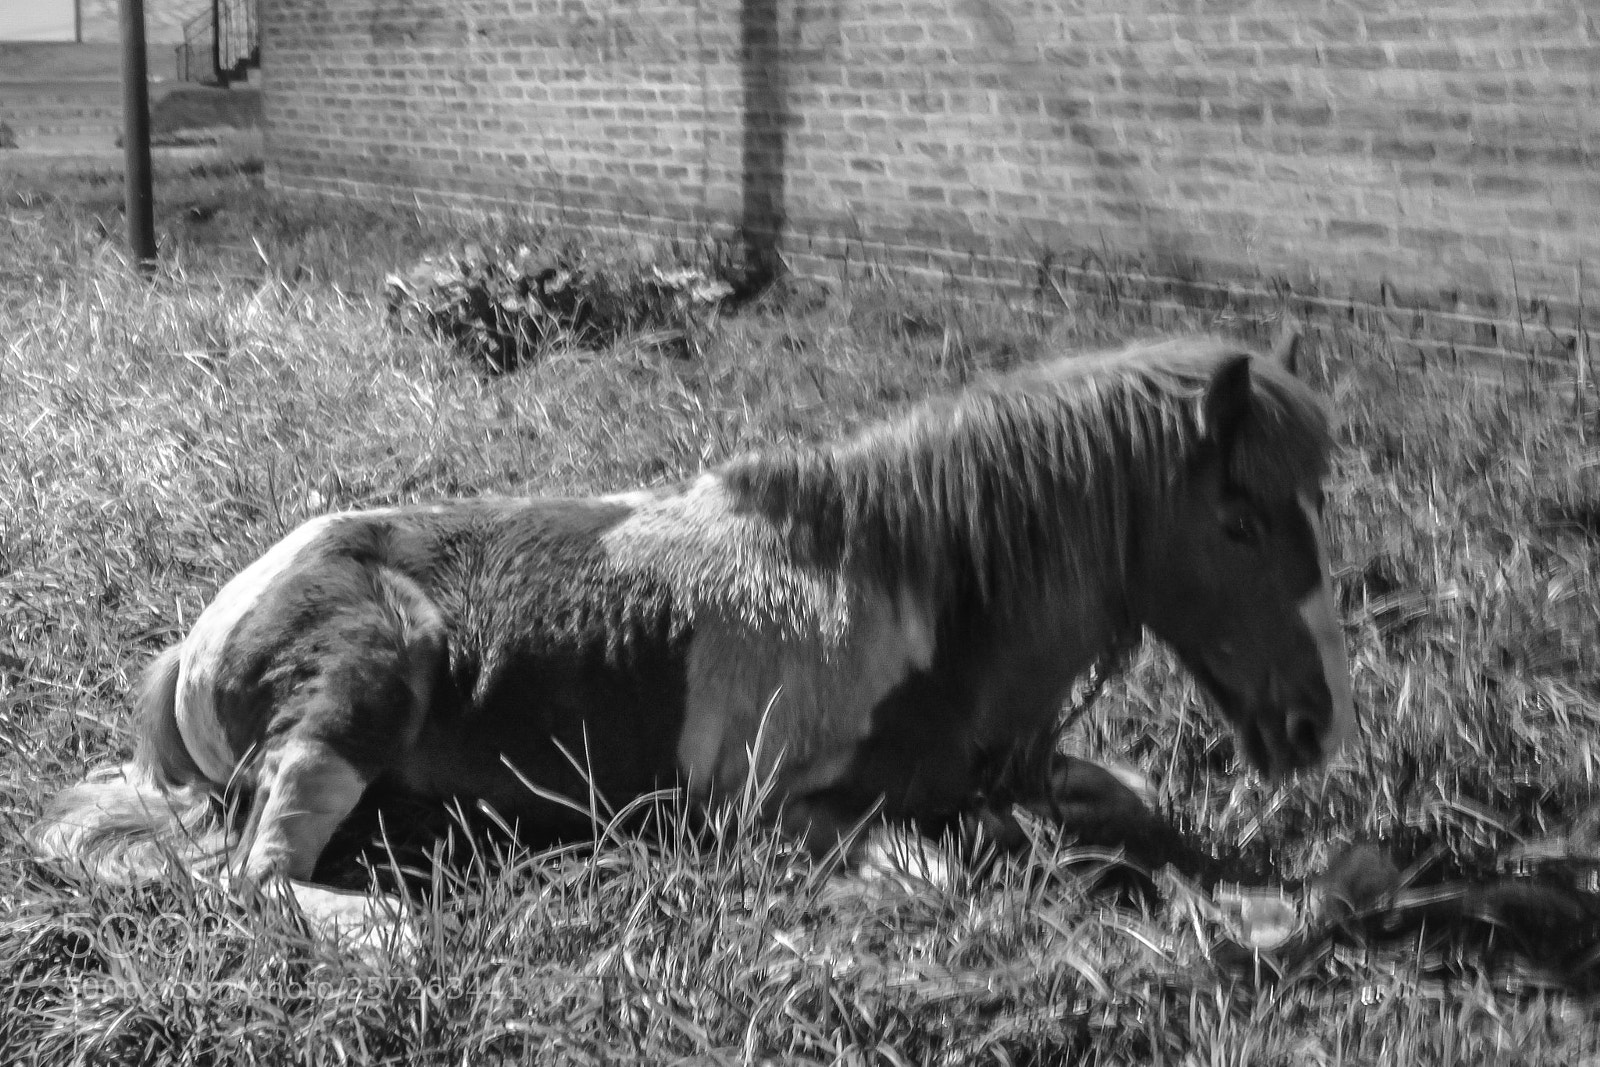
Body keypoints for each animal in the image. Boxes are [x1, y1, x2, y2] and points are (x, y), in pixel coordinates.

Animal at [32, 329, 1354, 927]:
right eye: (1238, 520)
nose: (1312, 723)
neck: (901, 593)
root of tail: (202, 634)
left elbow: (1119, 794)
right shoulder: (767, 809)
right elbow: (943, 869)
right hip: (346, 699)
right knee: (258, 879)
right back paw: (403, 927)